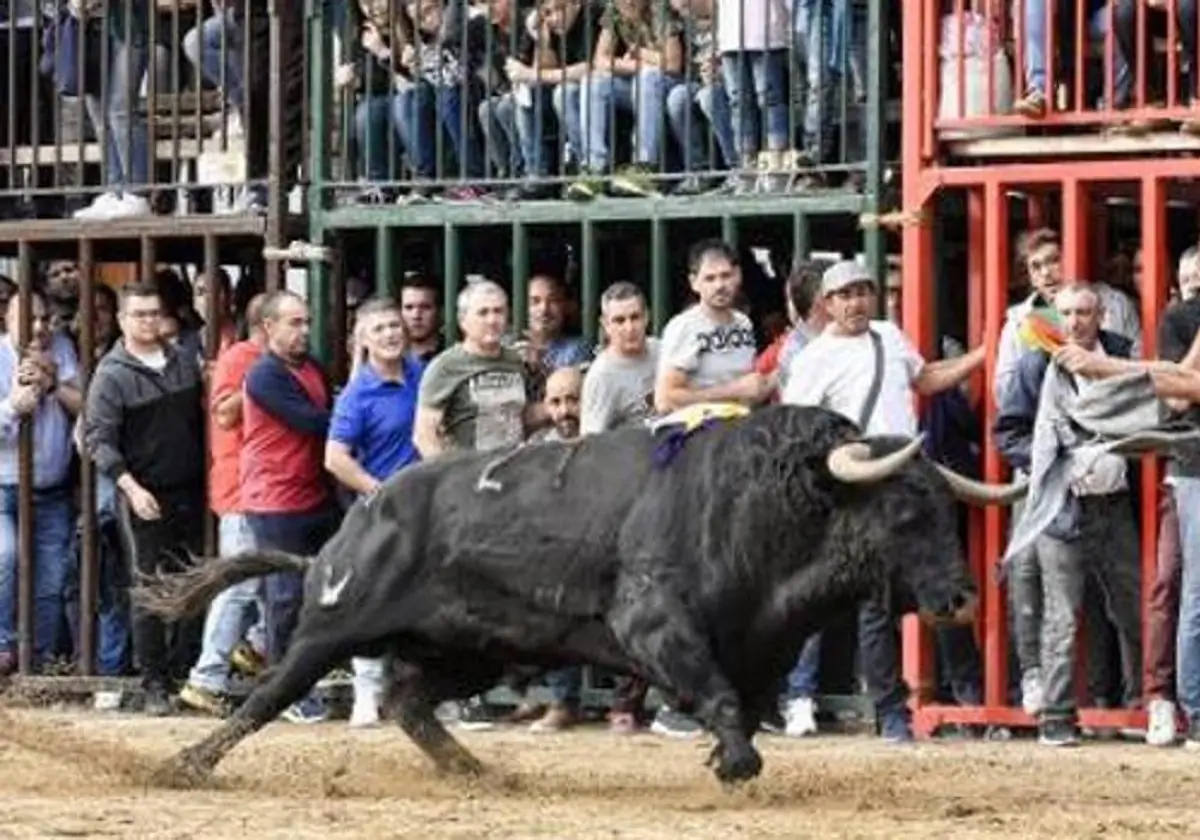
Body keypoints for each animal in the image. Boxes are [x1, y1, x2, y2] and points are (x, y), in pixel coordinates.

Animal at [138, 408, 1022, 787]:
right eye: (903, 512)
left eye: (945, 509)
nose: (958, 599)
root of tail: (351, 527)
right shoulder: (655, 623)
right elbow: (717, 697)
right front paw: (736, 763)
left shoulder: (762, 646)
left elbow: (740, 698)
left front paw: (725, 755)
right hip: (332, 626)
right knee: (267, 696)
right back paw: (185, 765)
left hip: (473, 649)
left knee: (410, 703)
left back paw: (479, 771)